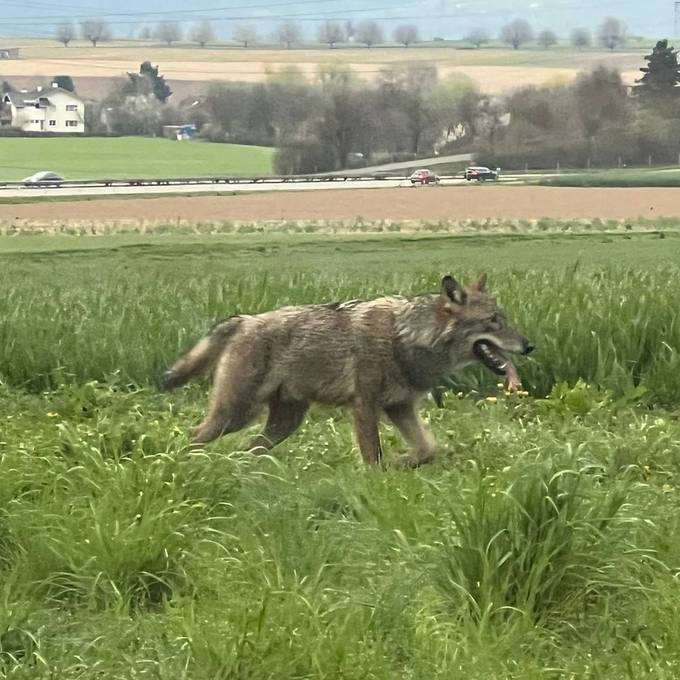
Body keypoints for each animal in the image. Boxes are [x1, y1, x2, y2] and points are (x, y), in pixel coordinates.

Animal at [162, 274, 532, 464]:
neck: (405, 336)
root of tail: (243, 320)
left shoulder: (400, 407)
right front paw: (378, 483)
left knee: (249, 449)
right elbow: (372, 456)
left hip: (283, 423)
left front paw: (403, 464)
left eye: (504, 319)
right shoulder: (365, 404)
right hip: (236, 413)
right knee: (193, 436)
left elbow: (428, 448)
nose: (529, 346)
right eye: (494, 322)